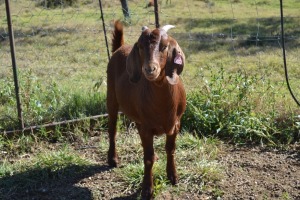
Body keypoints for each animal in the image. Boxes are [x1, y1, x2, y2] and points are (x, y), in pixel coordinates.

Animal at [105, 20, 185, 198]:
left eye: (164, 46)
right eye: (141, 47)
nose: (149, 69)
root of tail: (120, 48)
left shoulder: (176, 124)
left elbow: (170, 149)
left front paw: (173, 176)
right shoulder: (146, 128)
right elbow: (148, 158)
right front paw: (147, 188)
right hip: (111, 97)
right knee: (112, 129)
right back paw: (112, 159)